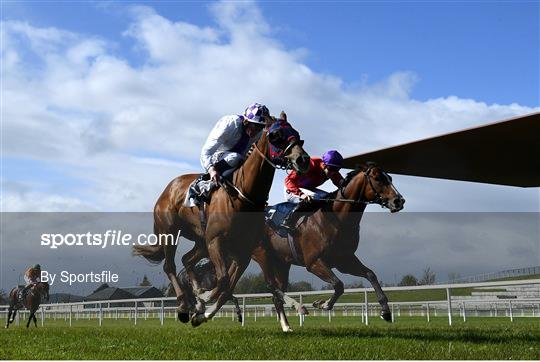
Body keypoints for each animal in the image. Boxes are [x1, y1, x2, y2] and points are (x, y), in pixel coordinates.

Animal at [133, 111, 310, 324]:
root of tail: (167, 190)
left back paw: (196, 295)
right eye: (276, 135)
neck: (243, 195)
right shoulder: (217, 241)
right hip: (171, 233)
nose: (303, 159)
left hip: (201, 240)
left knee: (187, 260)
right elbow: (224, 280)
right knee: (170, 266)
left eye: (296, 133)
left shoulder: (244, 250)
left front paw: (202, 304)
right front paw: (205, 297)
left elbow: (229, 286)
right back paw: (184, 303)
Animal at [251, 164, 402, 330]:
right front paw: (322, 304)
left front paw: (386, 311)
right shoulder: (314, 262)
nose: (399, 201)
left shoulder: (344, 261)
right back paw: (298, 307)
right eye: (377, 178)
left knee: (277, 294)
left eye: (390, 177)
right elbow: (338, 284)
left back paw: (286, 326)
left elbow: (370, 274)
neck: (336, 219)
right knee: (270, 284)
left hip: (282, 262)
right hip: (262, 254)